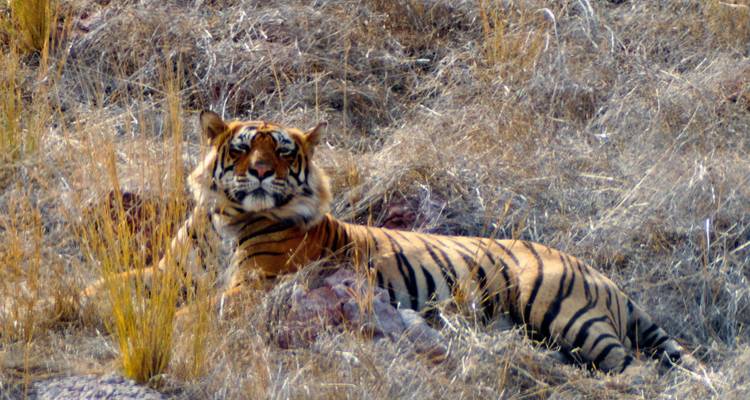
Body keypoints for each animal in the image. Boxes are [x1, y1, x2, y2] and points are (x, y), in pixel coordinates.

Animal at [84, 110, 697, 376]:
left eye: (282, 151)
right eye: (240, 148)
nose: (258, 172)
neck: (229, 218)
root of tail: (601, 273)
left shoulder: (256, 284)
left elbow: (196, 310)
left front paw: (170, 323)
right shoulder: (167, 273)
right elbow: (106, 285)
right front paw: (70, 301)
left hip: (561, 309)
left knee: (634, 368)